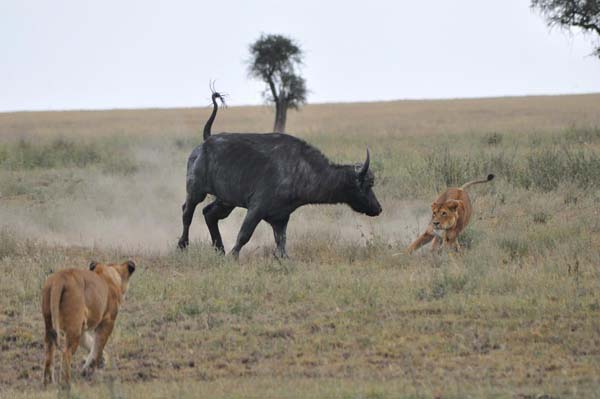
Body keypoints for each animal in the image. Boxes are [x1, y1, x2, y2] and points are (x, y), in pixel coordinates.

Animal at [41, 260, 137, 388]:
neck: (107, 274)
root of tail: (60, 277)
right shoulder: (107, 321)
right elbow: (98, 345)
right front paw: (90, 369)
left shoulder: (82, 327)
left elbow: (91, 342)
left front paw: (102, 360)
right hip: (74, 328)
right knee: (66, 353)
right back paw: (67, 384)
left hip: (52, 323)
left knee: (49, 351)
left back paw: (48, 383)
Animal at [178, 91, 382, 260]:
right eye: (368, 184)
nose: (378, 208)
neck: (301, 169)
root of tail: (207, 140)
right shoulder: (256, 208)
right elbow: (244, 235)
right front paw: (233, 256)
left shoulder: (281, 218)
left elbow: (281, 243)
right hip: (196, 190)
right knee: (187, 213)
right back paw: (183, 245)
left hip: (226, 200)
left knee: (209, 214)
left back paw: (219, 249)